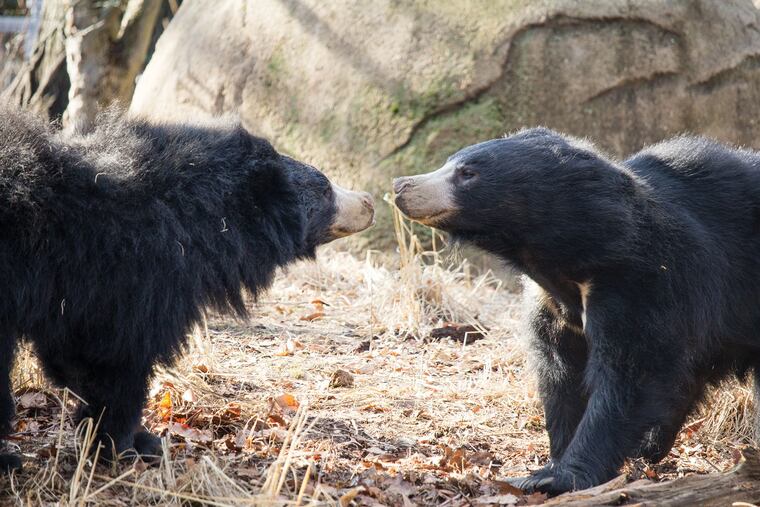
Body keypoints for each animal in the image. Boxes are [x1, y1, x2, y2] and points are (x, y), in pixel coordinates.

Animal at [0, 107, 374, 469]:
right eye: (325, 190)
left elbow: (75, 354)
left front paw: (134, 440)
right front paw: (124, 447)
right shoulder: (132, 271)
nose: (369, 202)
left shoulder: (83, 290)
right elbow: (114, 359)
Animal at [393, 127, 760, 494]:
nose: (401, 185)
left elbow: (632, 373)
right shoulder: (554, 307)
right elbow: (561, 374)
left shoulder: (644, 281)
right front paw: (551, 464)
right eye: (449, 163)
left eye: (467, 173)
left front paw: (555, 477)